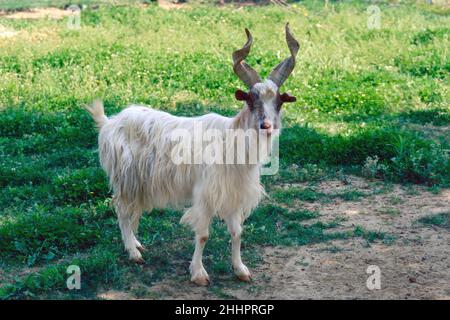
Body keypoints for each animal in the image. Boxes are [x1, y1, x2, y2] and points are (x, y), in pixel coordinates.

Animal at [86, 24, 300, 284]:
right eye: (250, 99)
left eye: (279, 101)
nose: (266, 125)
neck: (231, 142)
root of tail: (109, 122)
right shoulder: (206, 194)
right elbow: (203, 235)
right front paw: (198, 274)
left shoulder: (234, 194)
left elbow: (237, 232)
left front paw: (241, 270)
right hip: (126, 178)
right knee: (121, 209)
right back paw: (133, 253)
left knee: (130, 212)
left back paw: (136, 244)